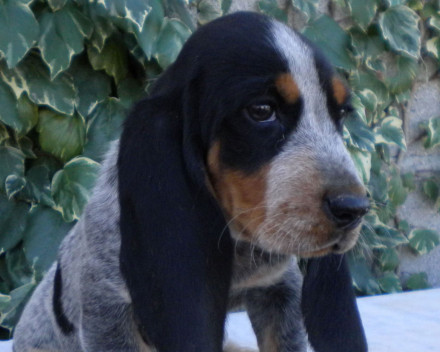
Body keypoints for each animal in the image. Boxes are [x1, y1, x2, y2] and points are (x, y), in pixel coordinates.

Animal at [13, 11, 370, 352]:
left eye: (341, 114)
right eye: (261, 110)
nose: (354, 209)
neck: (234, 242)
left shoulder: (279, 289)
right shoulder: (109, 310)